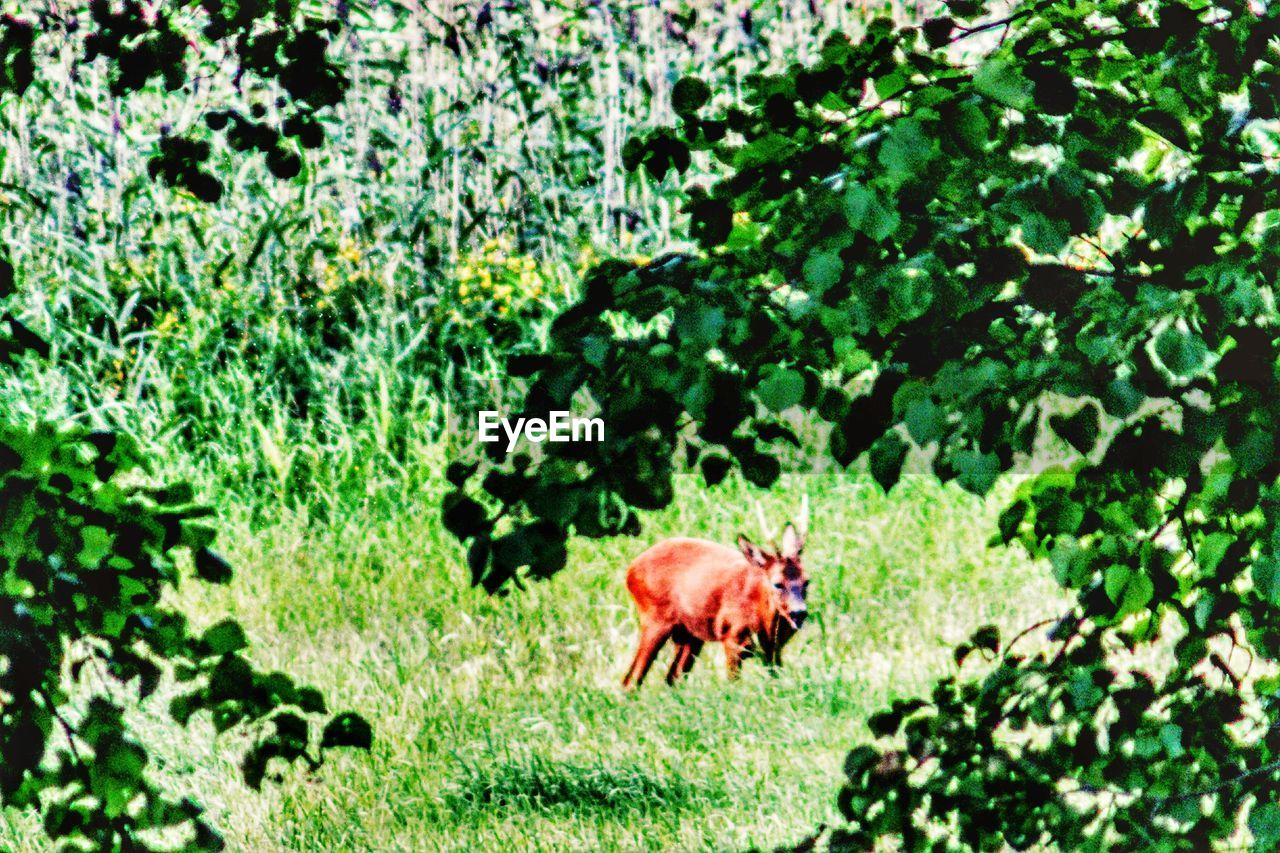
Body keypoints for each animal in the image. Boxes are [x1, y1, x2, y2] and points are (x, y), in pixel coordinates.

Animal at [619, 494, 808, 686]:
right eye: (778, 584)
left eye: (807, 581)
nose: (799, 613)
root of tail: (630, 570)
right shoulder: (731, 636)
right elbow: (733, 682)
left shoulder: (774, 649)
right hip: (654, 619)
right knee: (631, 680)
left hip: (689, 634)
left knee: (672, 678)